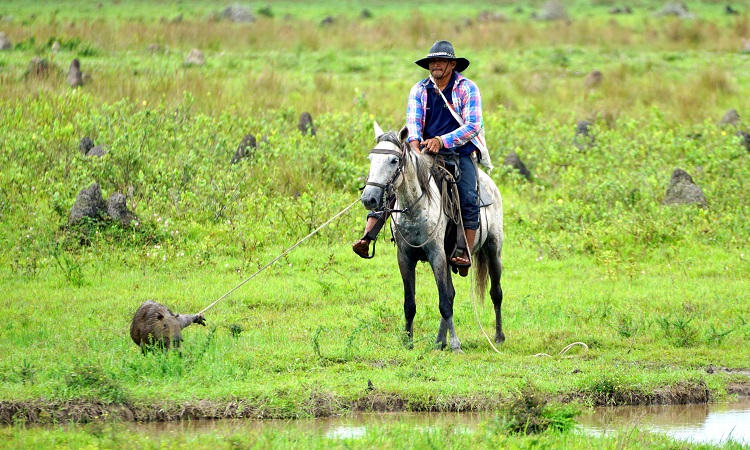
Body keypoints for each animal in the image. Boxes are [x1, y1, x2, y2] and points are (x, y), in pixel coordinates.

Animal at [362, 122, 508, 352]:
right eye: (371, 159)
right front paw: (408, 342)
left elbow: (444, 304)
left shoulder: (436, 254)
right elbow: (411, 303)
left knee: (496, 293)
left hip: (494, 249)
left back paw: (499, 336)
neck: (415, 208)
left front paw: (456, 345)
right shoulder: (405, 257)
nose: (369, 198)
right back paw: (440, 341)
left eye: (394, 160)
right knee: (452, 293)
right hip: (450, 257)